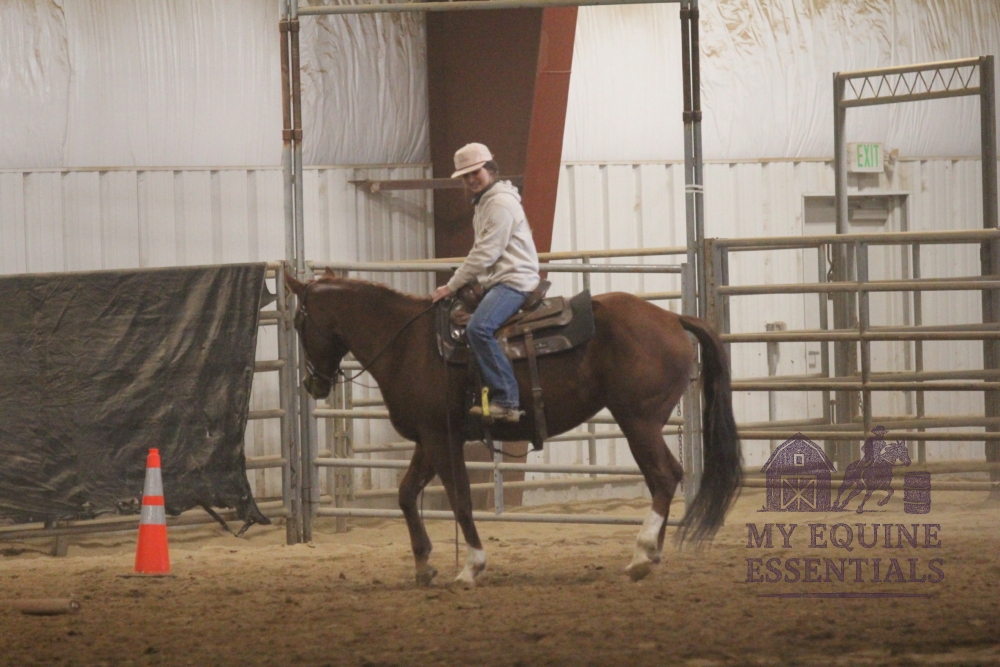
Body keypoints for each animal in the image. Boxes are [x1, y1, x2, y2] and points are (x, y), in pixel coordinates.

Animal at [286, 271, 742, 585]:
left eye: (298, 323)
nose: (312, 383)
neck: (407, 343)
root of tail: (672, 317)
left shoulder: (441, 438)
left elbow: (461, 501)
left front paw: (471, 567)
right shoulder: (429, 439)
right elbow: (406, 494)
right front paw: (423, 565)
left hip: (638, 420)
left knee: (664, 476)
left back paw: (642, 554)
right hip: (640, 423)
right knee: (662, 478)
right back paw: (649, 556)